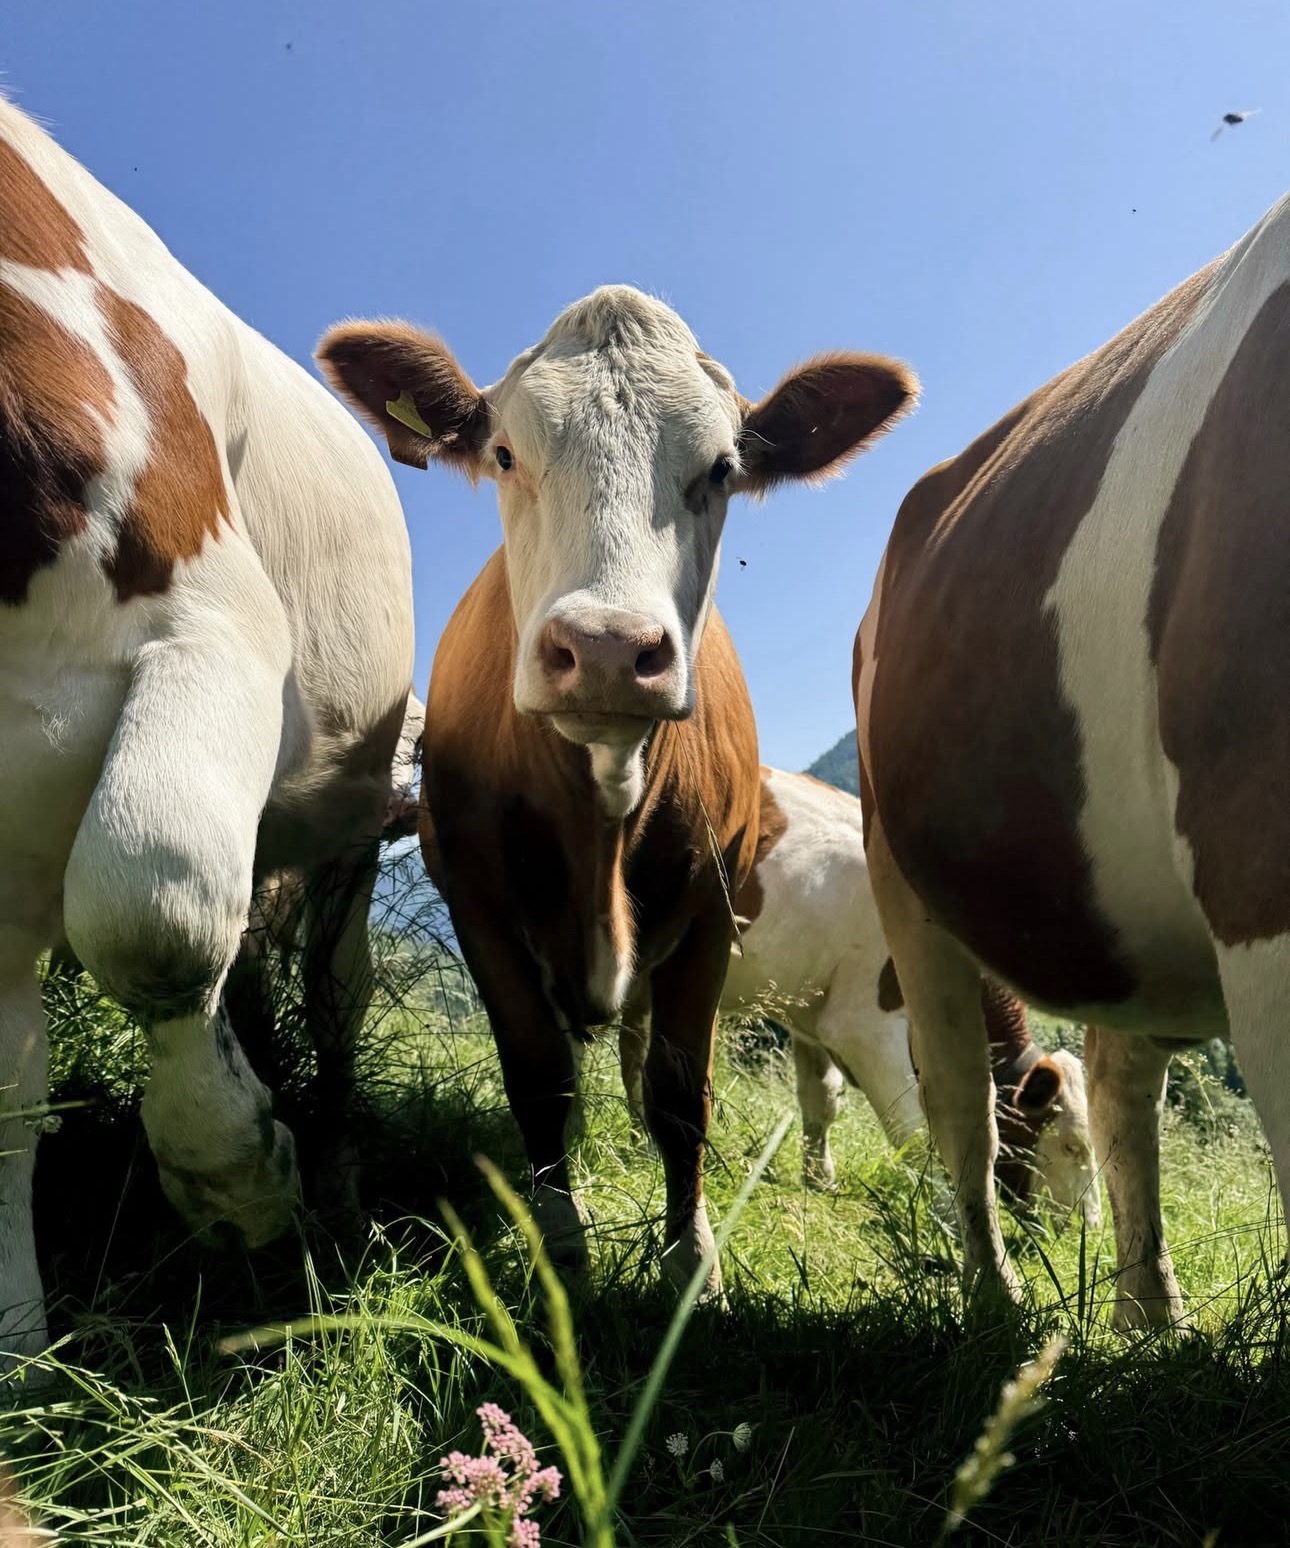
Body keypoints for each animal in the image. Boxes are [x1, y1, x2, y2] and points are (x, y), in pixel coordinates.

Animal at [0, 96, 415, 1361]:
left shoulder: (216, 628)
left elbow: (151, 910)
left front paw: (239, 1176)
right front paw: (17, 1352)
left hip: (350, 818)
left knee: (331, 988)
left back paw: (329, 1161)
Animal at [317, 287, 917, 1295]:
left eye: (721, 469)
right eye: (505, 454)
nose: (604, 648)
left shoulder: (714, 909)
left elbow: (681, 1095)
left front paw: (691, 1258)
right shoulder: (473, 898)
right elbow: (539, 1074)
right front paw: (561, 1240)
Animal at [616, 766, 1101, 1223]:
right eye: (1072, 1146)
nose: (1090, 1227)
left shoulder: (811, 1011)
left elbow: (821, 1098)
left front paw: (819, 1178)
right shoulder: (863, 1026)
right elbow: (911, 1124)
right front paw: (945, 1215)